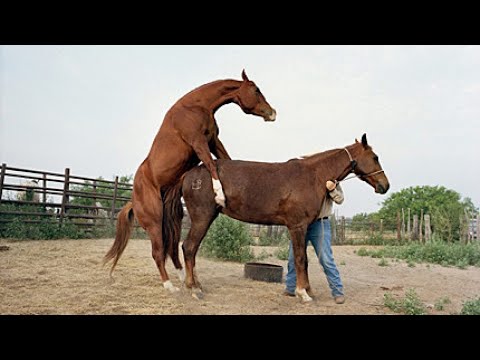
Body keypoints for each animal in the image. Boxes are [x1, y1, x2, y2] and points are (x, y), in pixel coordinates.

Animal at [105, 70, 278, 292]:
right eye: (256, 90)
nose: (272, 113)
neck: (195, 106)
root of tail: (133, 201)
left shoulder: (213, 141)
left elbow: (226, 159)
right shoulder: (199, 142)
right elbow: (211, 164)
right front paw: (220, 194)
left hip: (174, 219)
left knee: (173, 249)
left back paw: (185, 279)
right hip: (154, 222)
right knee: (158, 252)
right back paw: (170, 286)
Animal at [178, 134, 388, 300]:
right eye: (375, 157)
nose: (385, 185)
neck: (314, 176)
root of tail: (190, 174)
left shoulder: (302, 228)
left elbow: (304, 259)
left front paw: (308, 291)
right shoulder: (298, 226)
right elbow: (300, 258)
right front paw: (303, 293)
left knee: (192, 250)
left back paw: (197, 284)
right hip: (202, 218)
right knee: (189, 247)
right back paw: (193, 288)